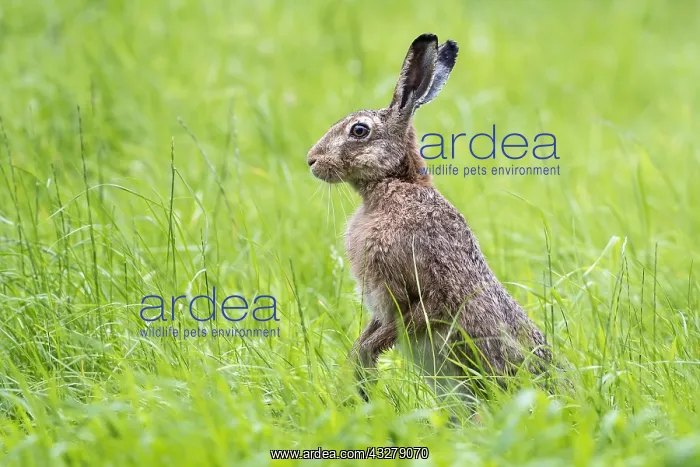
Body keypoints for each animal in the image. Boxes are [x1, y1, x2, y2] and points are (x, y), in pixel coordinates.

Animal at [306, 33, 552, 406]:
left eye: (359, 131)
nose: (311, 159)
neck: (396, 184)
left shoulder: (431, 290)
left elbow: (402, 325)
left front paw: (363, 363)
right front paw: (356, 367)